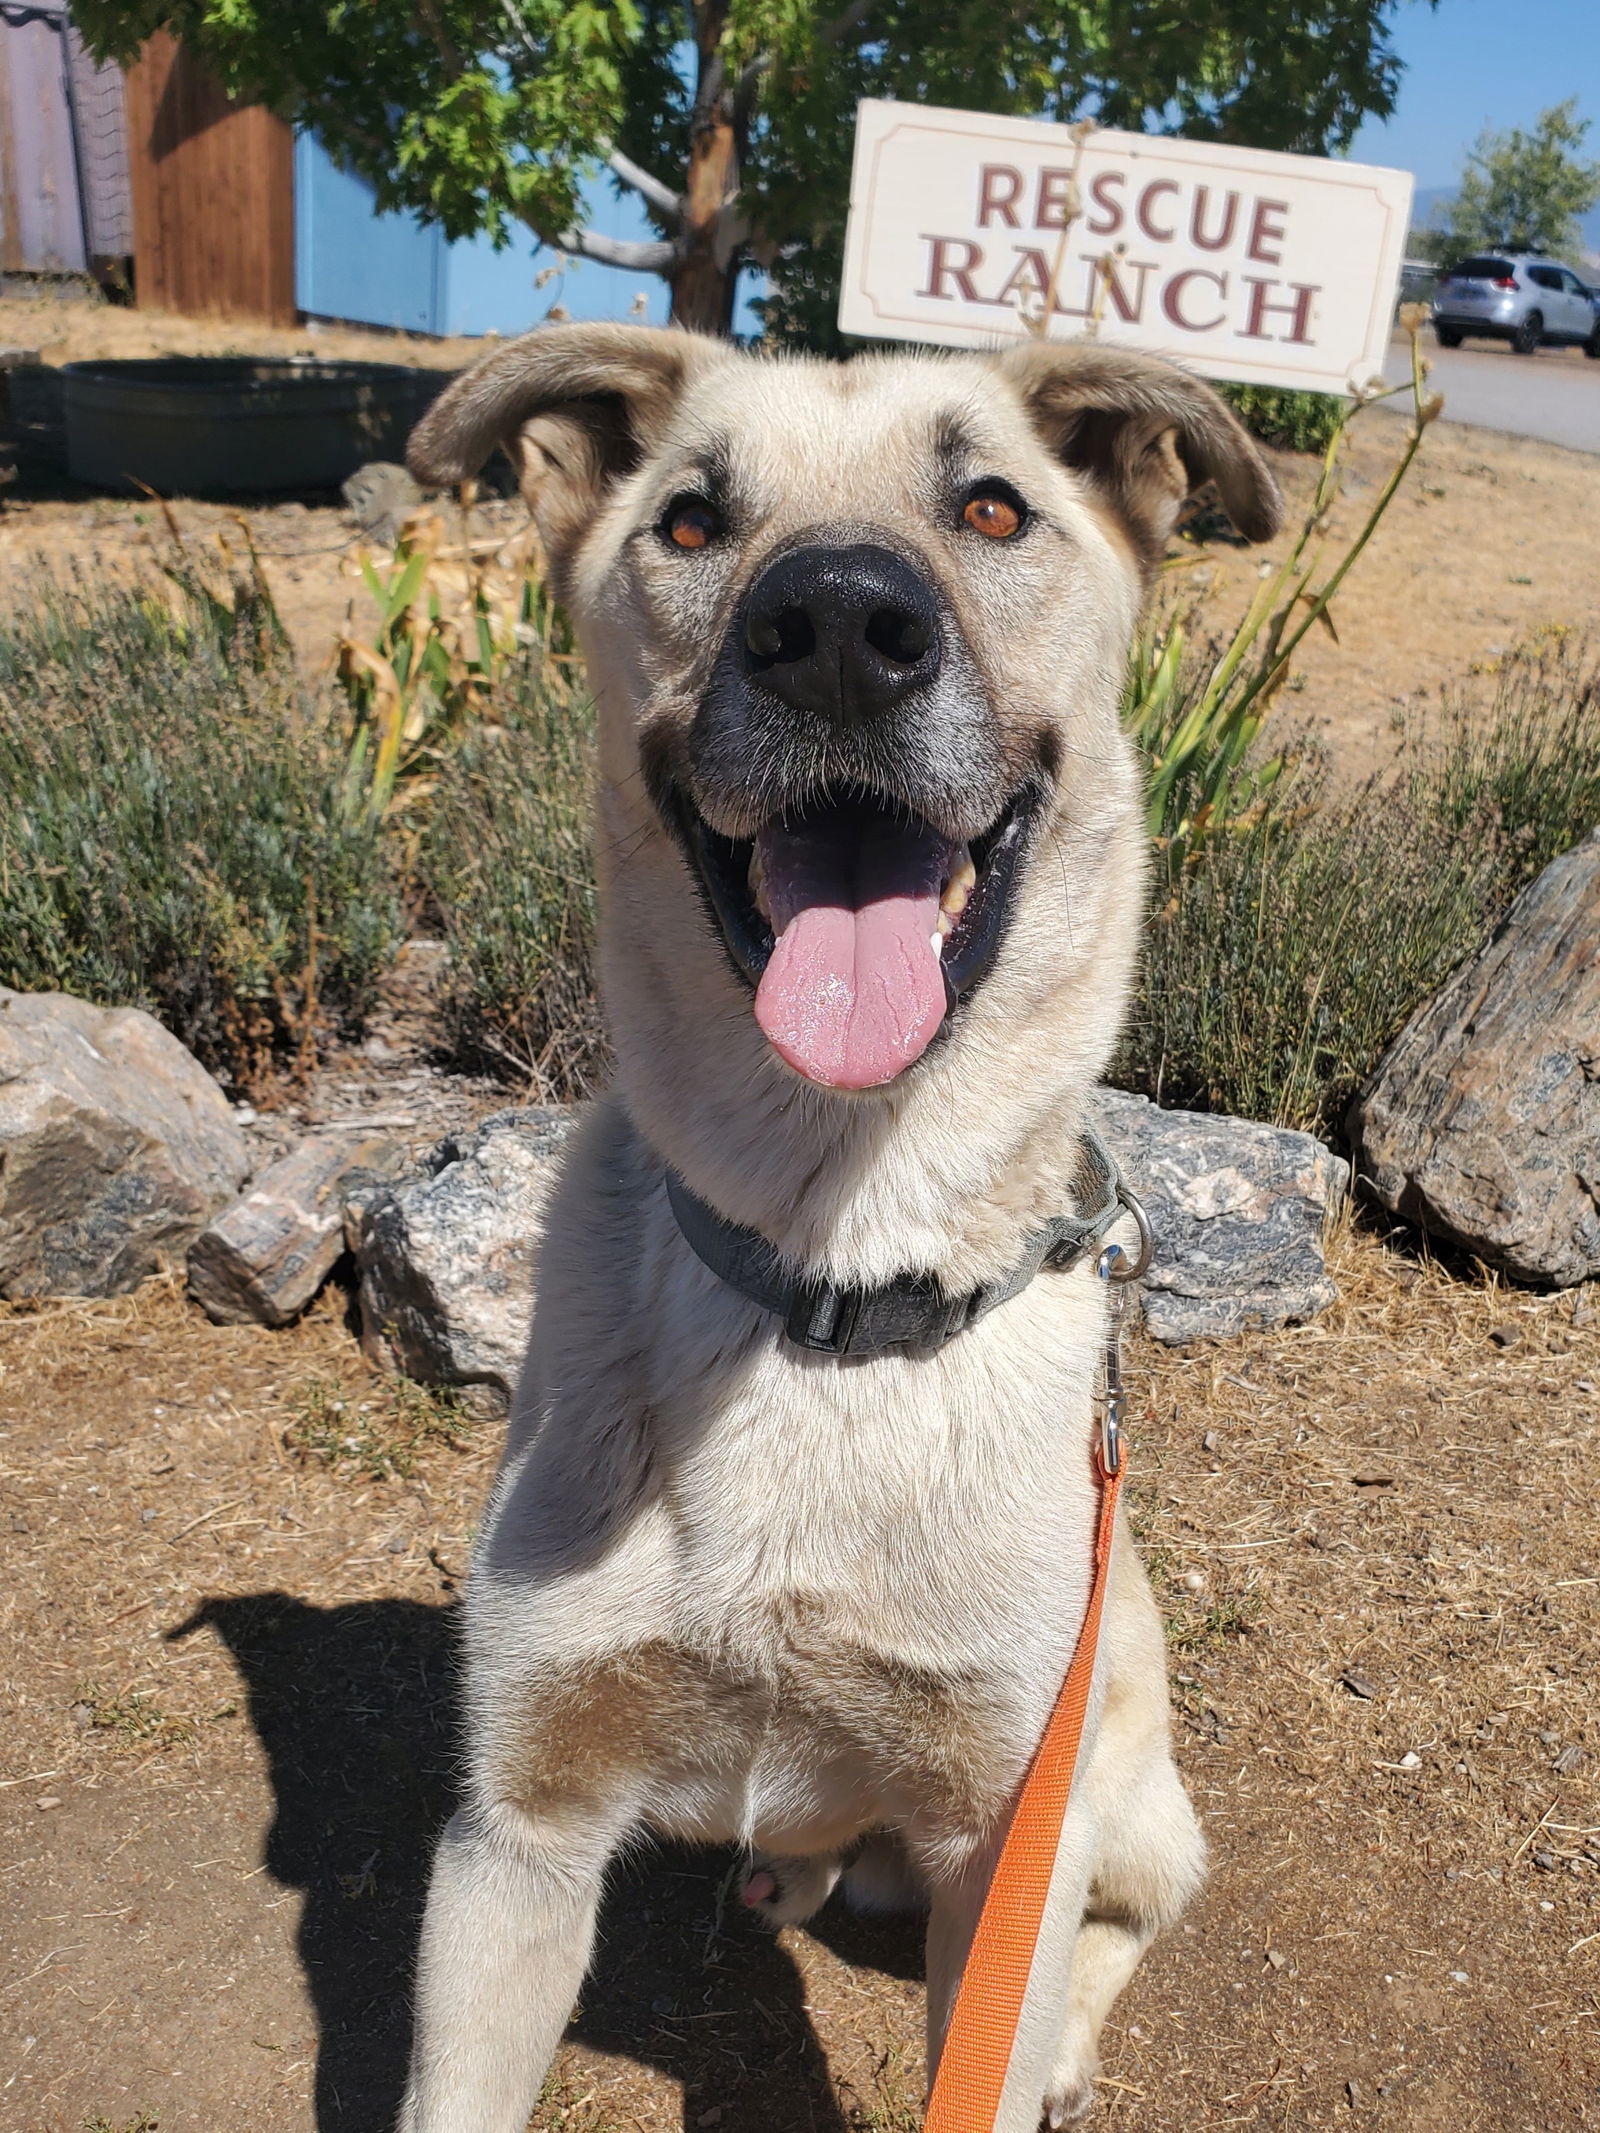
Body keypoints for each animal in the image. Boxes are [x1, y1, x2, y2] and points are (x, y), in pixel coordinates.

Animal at [403, 319, 1288, 2133]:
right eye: (689, 521)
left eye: (992, 505)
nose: (832, 634)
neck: (831, 1276)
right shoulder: (517, 1833)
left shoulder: (1003, 1830)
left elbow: (1013, 2001)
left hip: (1116, 1788)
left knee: (1127, 1914)